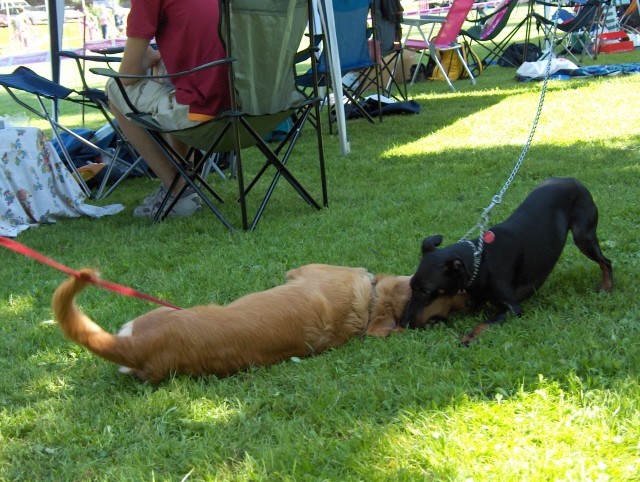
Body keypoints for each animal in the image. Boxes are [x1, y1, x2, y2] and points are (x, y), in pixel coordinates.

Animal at [402, 179, 612, 344]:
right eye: (411, 287)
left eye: (426, 291)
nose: (404, 323)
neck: (480, 262)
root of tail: (574, 180)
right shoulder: (473, 299)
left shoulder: (513, 307)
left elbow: (484, 323)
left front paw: (469, 337)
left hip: (583, 236)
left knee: (606, 261)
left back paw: (606, 287)